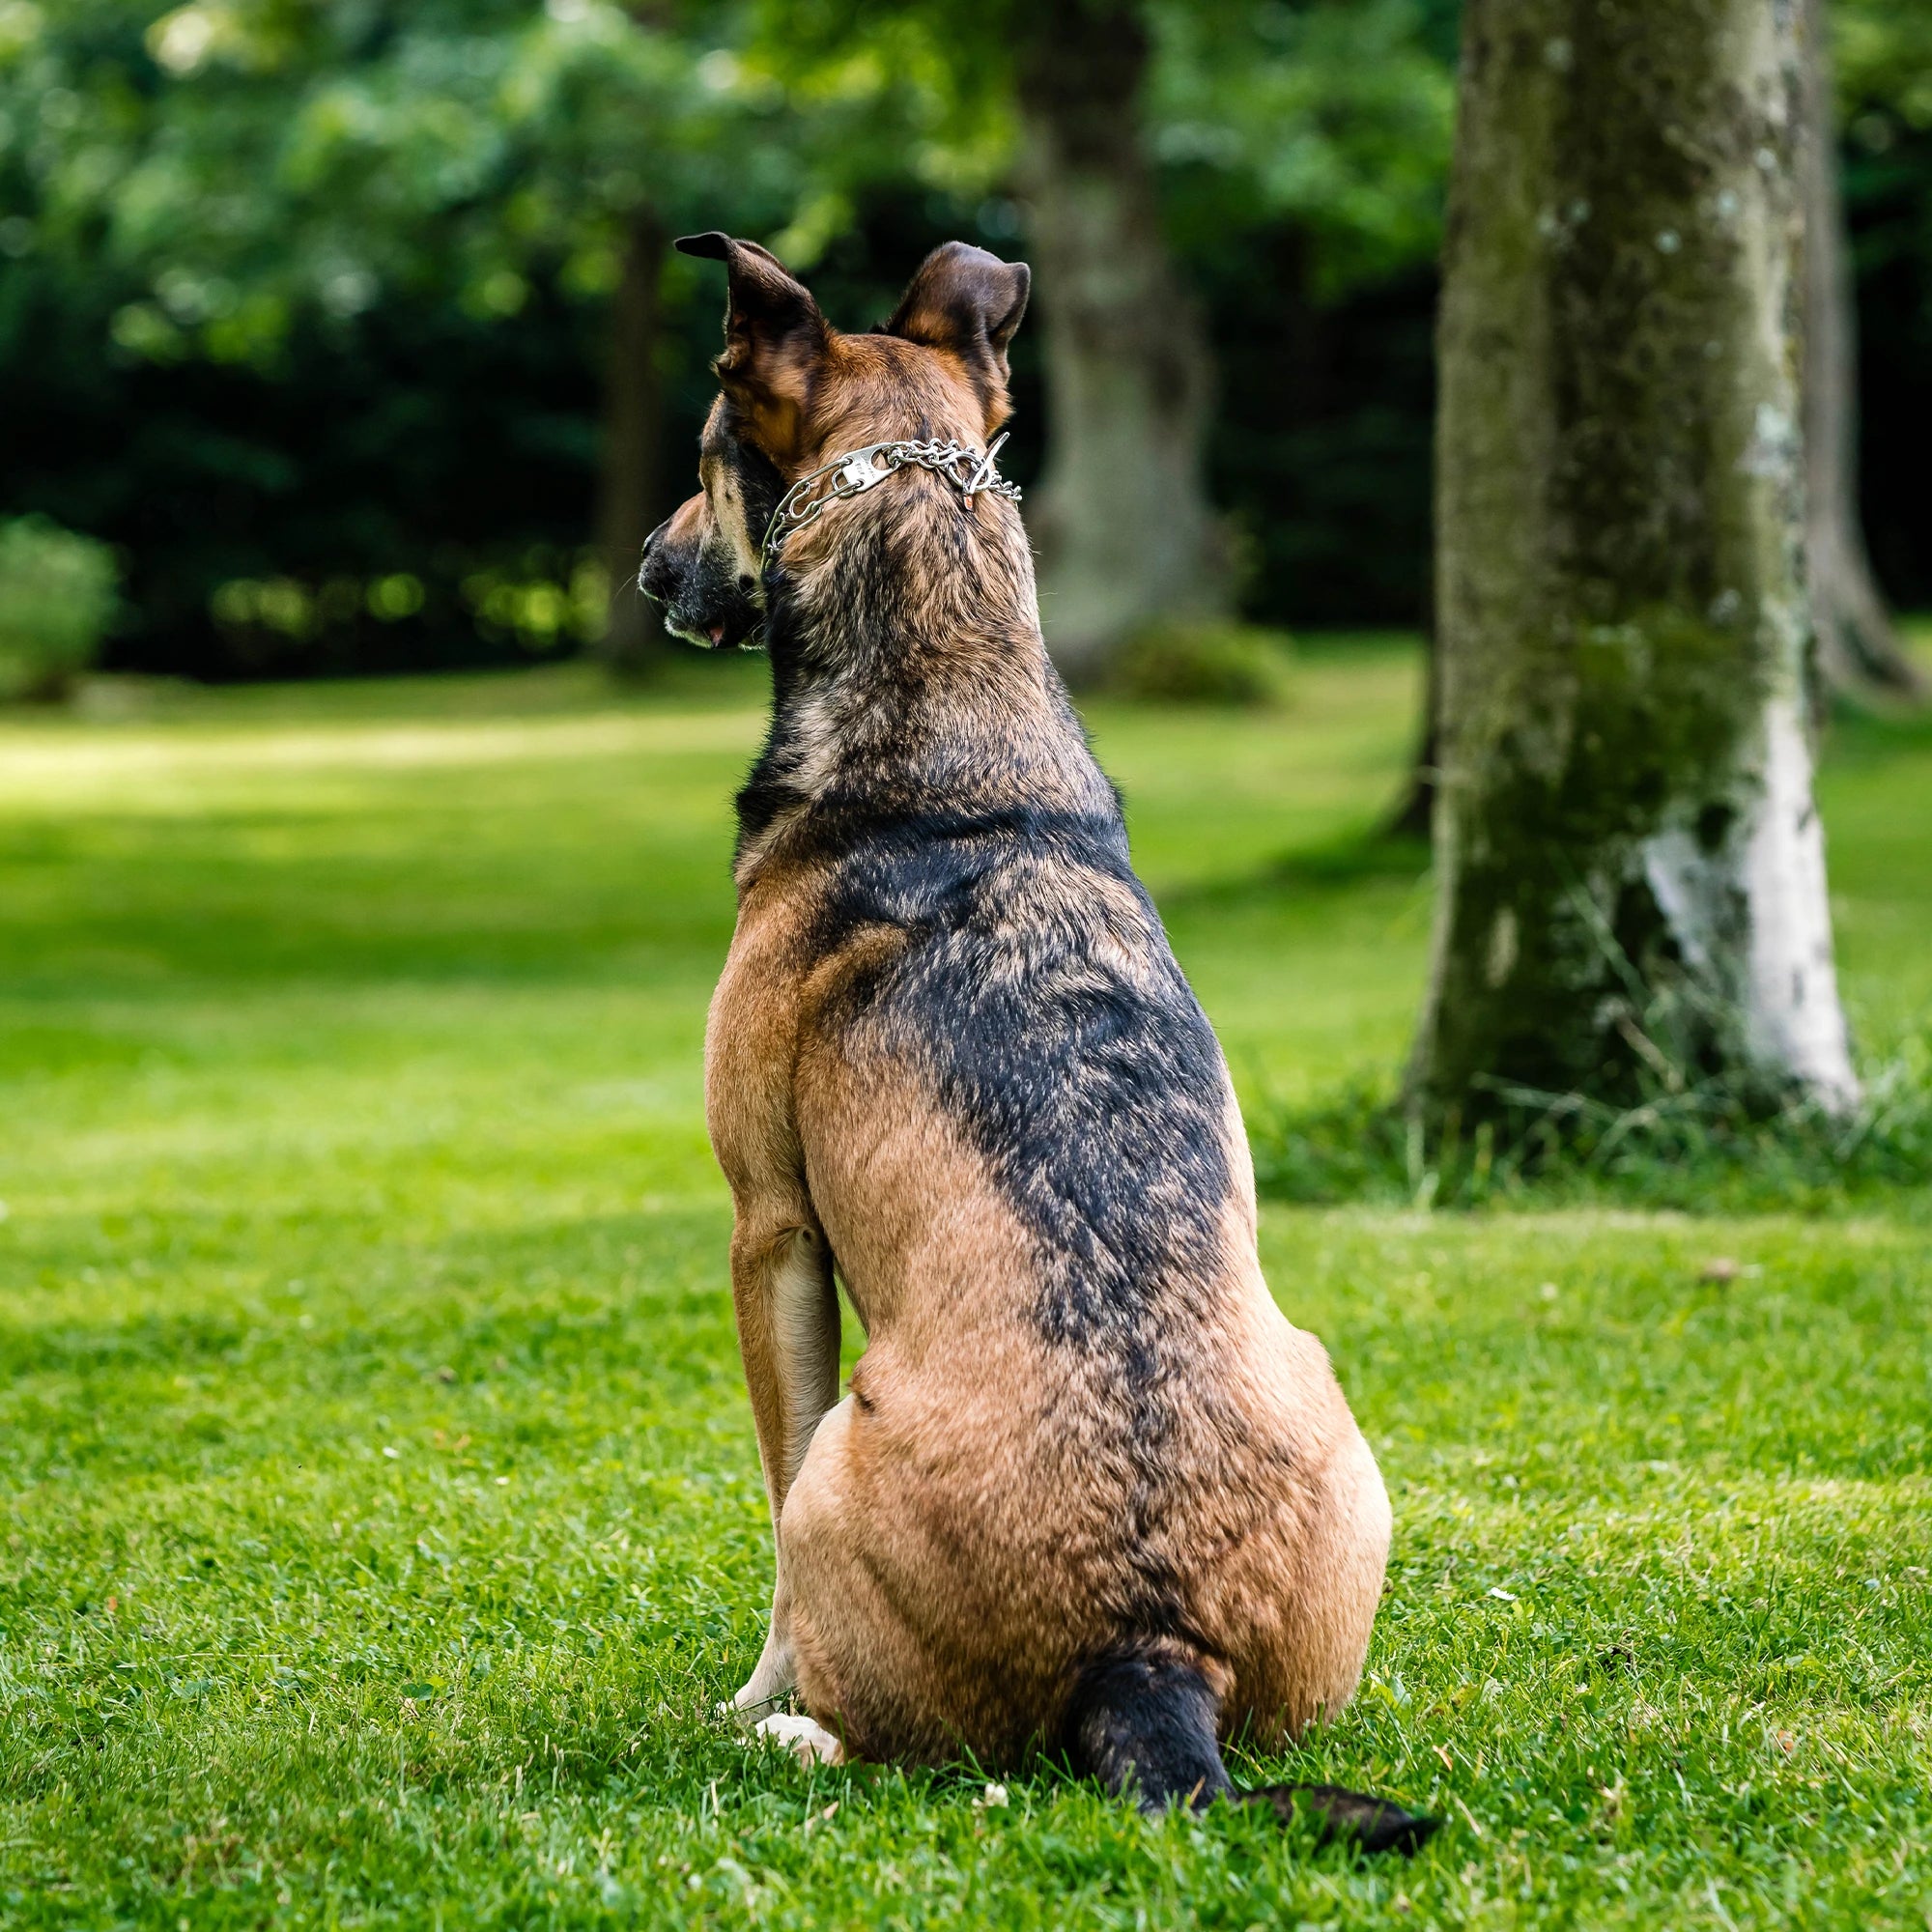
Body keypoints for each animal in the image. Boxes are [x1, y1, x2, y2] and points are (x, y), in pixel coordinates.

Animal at [638, 238, 1437, 1855]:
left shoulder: (768, 1227)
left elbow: (765, 1495)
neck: (950, 726)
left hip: (845, 1459)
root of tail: (1153, 1651)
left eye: (703, 461)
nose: (644, 565)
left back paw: (797, 1734)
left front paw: (756, 1694)